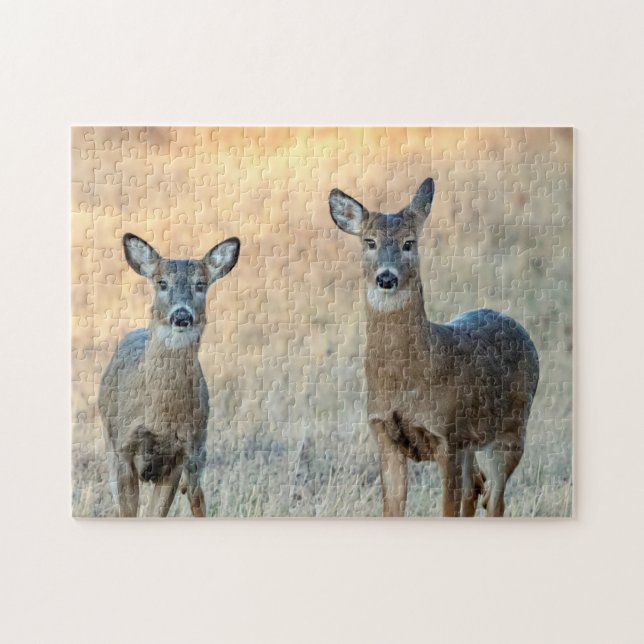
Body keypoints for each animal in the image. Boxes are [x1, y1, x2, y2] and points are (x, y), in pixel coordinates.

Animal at [98, 233, 240, 517]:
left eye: (200, 284)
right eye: (162, 282)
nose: (182, 315)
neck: (159, 419)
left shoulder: (179, 455)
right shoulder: (123, 448)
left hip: (199, 449)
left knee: (198, 498)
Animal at [329, 178, 539, 517]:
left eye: (409, 243)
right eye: (370, 242)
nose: (386, 277)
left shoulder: (447, 437)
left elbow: (448, 509)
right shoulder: (384, 435)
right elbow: (392, 509)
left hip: (512, 430)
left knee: (495, 499)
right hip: (474, 442)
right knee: (476, 488)